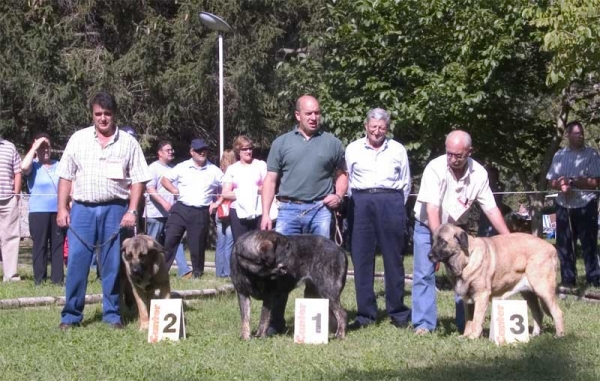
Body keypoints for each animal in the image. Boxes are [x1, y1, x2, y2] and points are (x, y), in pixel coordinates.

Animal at [428, 223, 564, 338]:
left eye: (443, 242)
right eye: (433, 241)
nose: (429, 256)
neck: (465, 261)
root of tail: (552, 248)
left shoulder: (481, 295)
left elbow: (476, 319)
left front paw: (473, 336)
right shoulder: (468, 300)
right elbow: (469, 320)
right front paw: (465, 335)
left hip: (543, 289)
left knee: (557, 312)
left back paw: (559, 335)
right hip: (528, 293)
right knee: (538, 312)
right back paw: (534, 334)